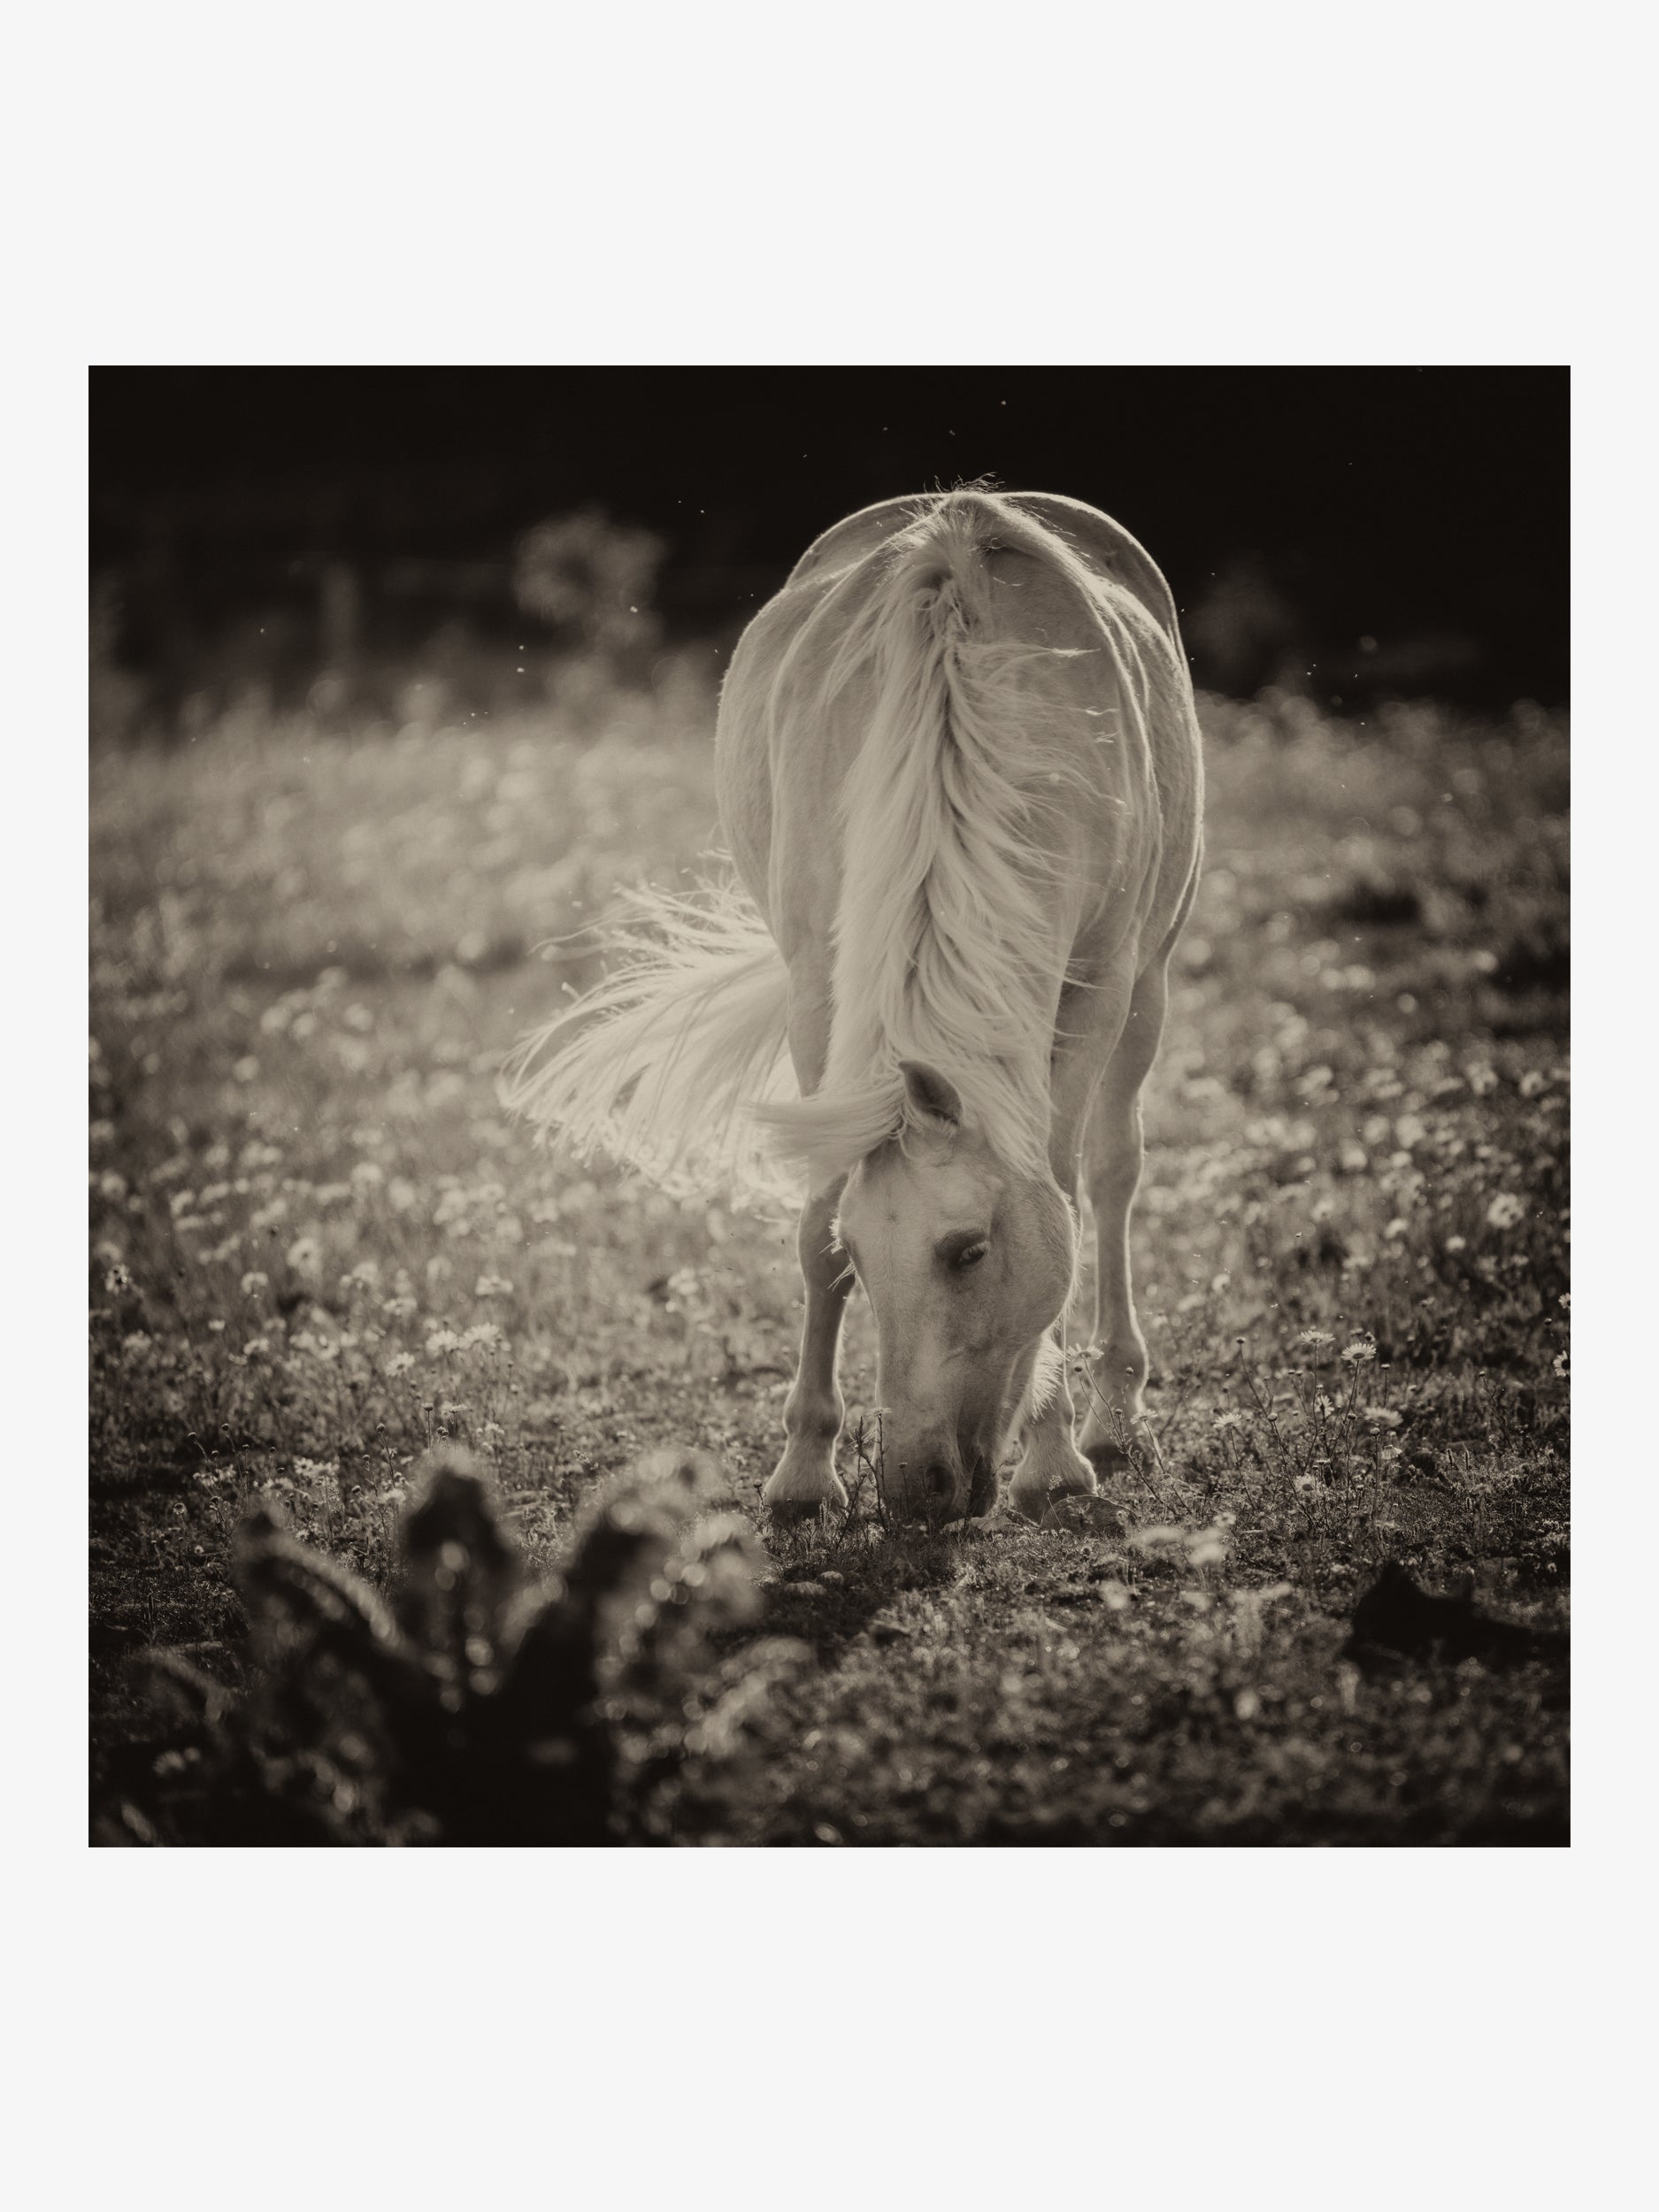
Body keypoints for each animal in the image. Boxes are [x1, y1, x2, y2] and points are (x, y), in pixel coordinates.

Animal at [505, 488, 1204, 1526]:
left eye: (967, 1251)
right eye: (863, 1256)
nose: (917, 1491)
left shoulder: (1097, 988)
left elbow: (1065, 1193)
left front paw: (1051, 1454)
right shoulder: (817, 989)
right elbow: (813, 1219)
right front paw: (804, 1470)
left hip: (1147, 990)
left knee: (1114, 1174)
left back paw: (1114, 1415)